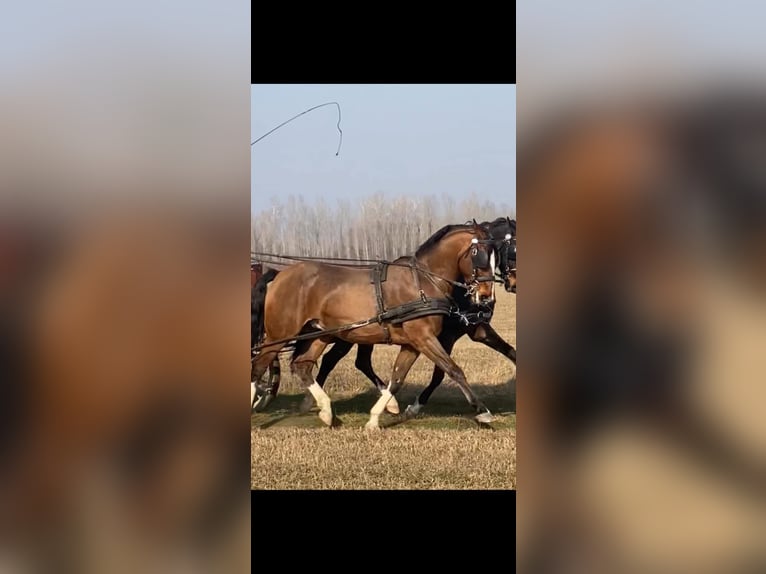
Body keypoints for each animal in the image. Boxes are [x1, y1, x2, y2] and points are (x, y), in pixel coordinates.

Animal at [251, 221, 498, 429]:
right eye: (478, 254)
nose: (487, 296)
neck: (422, 282)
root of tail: (280, 274)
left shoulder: (412, 343)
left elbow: (397, 379)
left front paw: (375, 419)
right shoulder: (424, 337)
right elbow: (454, 369)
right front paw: (483, 411)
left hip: (319, 334)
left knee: (302, 366)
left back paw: (327, 412)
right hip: (278, 335)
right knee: (259, 366)